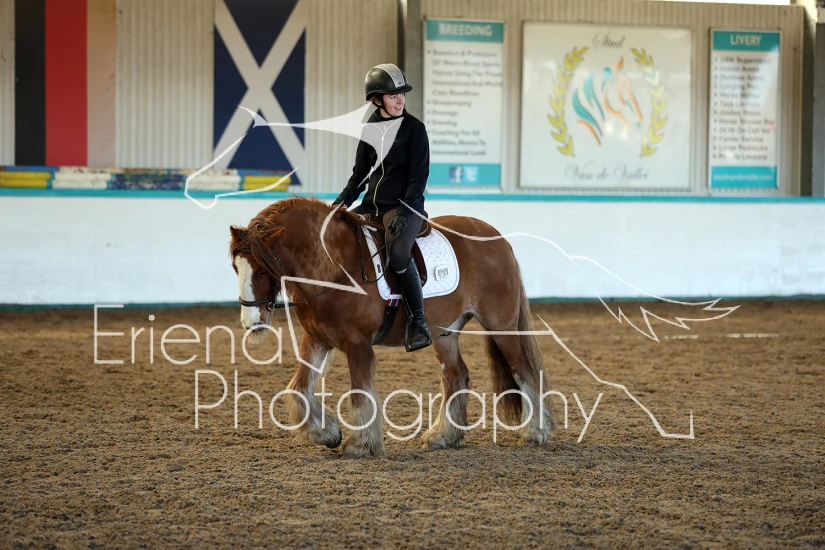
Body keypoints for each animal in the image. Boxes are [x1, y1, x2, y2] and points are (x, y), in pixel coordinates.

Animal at [228, 196, 553, 458]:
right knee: (456, 376)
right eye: (236, 267)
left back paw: (536, 431)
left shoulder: (357, 343)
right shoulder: (317, 339)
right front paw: (326, 433)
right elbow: (298, 388)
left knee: (524, 369)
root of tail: (499, 239)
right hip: (445, 332)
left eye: (262, 270)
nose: (251, 322)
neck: (333, 266)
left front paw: (360, 444)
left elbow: (360, 393)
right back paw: (443, 436)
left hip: (502, 327)